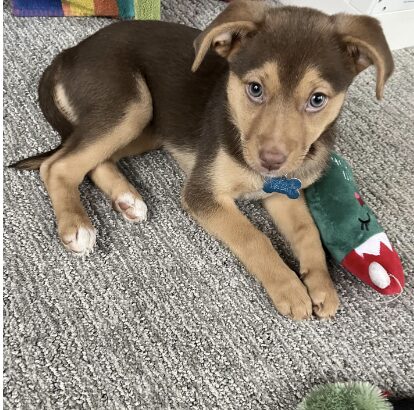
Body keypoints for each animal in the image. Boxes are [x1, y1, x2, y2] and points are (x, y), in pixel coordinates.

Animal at [12, 0, 393, 320]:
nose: (271, 161)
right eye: (255, 89)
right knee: (57, 165)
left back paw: (126, 199)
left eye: (317, 100)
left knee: (89, 161)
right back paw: (77, 225)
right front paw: (289, 288)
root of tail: (69, 53)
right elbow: (254, 237)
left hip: (154, 124)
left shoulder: (284, 192)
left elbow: (308, 232)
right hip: (131, 104)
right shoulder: (203, 193)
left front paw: (321, 286)